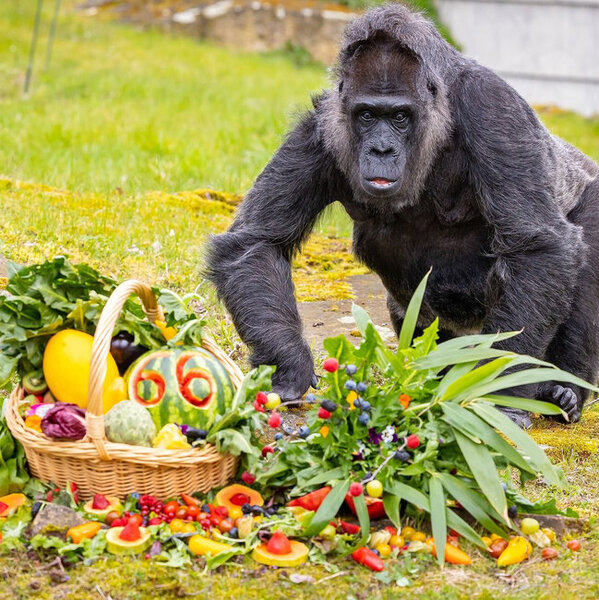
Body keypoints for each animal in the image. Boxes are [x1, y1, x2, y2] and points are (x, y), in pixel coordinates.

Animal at [207, 4, 599, 426]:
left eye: (399, 117)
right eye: (366, 115)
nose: (381, 150)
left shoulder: (492, 107)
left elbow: (537, 246)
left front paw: (501, 396)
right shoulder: (319, 126)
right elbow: (257, 242)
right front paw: (289, 365)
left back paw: (563, 389)